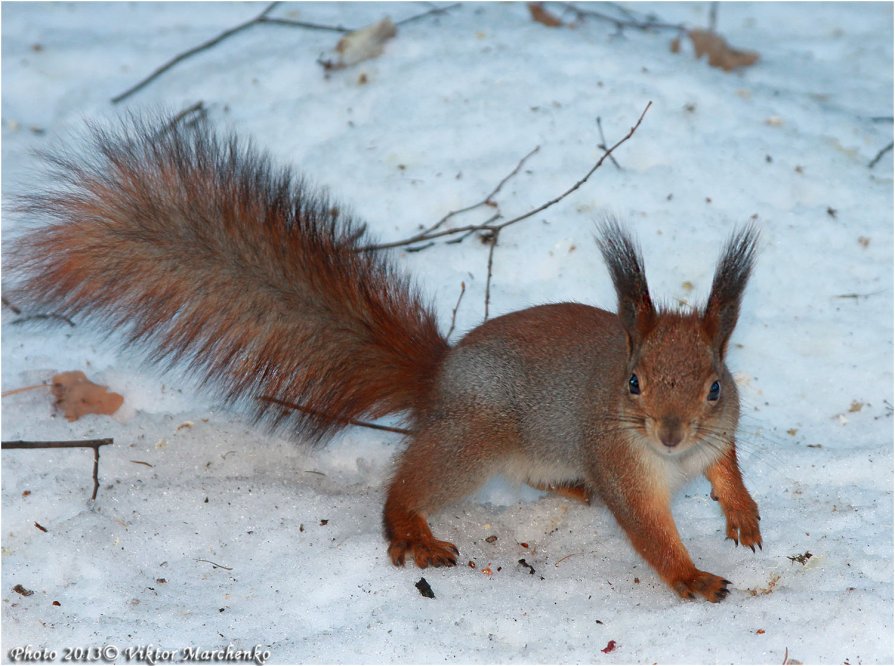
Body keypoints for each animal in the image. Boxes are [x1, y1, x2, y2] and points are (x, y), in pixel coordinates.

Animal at [8, 115, 764, 600]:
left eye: (714, 387)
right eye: (633, 383)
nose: (671, 434)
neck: (668, 460)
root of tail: (437, 376)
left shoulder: (717, 435)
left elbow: (725, 467)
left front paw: (742, 513)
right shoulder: (622, 466)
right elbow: (648, 531)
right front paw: (691, 577)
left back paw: (572, 489)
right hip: (473, 442)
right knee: (409, 485)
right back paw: (412, 531)